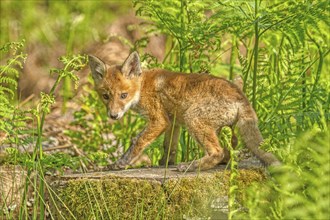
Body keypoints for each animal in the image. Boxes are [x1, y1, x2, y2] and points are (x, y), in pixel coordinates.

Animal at [88, 52, 282, 172]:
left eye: (123, 95)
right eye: (106, 96)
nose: (113, 116)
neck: (143, 87)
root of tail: (241, 96)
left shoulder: (159, 120)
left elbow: (137, 142)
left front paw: (120, 163)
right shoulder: (172, 123)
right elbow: (169, 147)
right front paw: (165, 164)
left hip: (193, 118)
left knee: (218, 152)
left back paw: (191, 167)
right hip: (220, 127)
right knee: (229, 150)